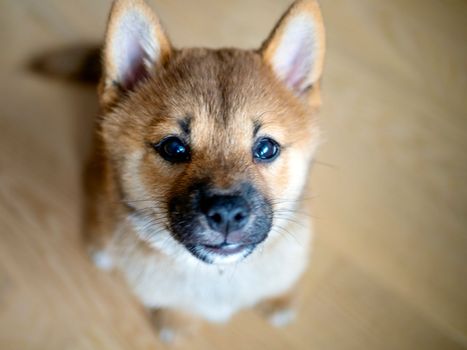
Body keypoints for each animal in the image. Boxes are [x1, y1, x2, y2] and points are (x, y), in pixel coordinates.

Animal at [85, 0, 326, 342]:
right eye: (173, 147)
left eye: (266, 148)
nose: (226, 214)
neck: (219, 276)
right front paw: (176, 322)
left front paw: (280, 298)